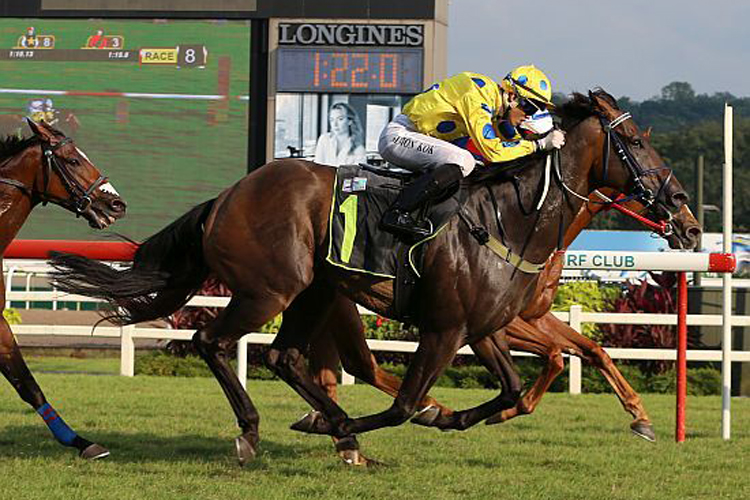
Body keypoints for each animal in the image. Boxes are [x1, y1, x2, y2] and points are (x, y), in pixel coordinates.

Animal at [51, 90, 700, 464]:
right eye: (635, 140)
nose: (687, 217)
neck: (512, 220)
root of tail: (226, 196)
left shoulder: (485, 326)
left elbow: (525, 383)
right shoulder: (446, 328)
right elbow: (406, 405)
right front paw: (361, 425)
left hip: (314, 293)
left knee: (283, 357)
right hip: (271, 288)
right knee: (213, 341)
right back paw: (260, 430)